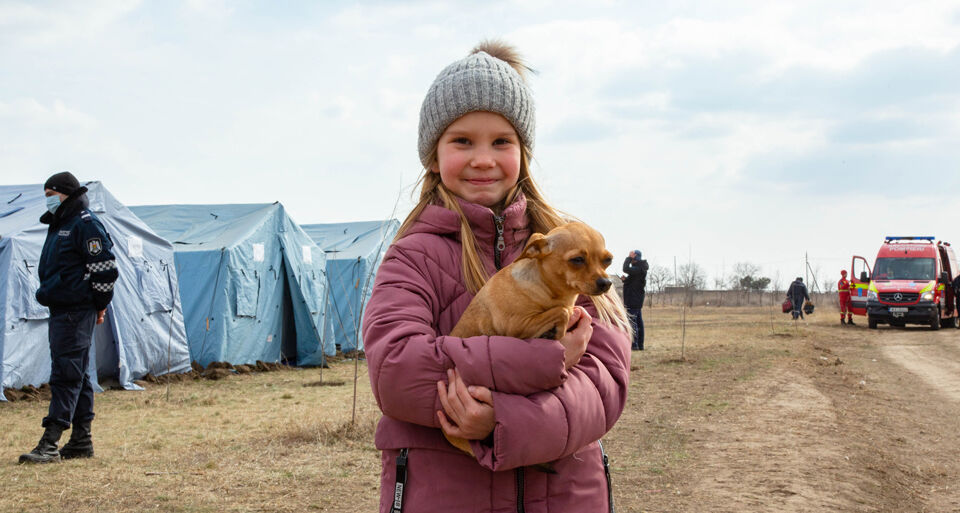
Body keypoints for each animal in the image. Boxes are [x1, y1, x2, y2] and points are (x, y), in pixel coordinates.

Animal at [444, 219, 616, 456]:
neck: (550, 291)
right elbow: (562, 311)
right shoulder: (517, 326)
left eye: (608, 260)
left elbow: (570, 310)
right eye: (577, 260)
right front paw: (556, 331)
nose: (606, 282)